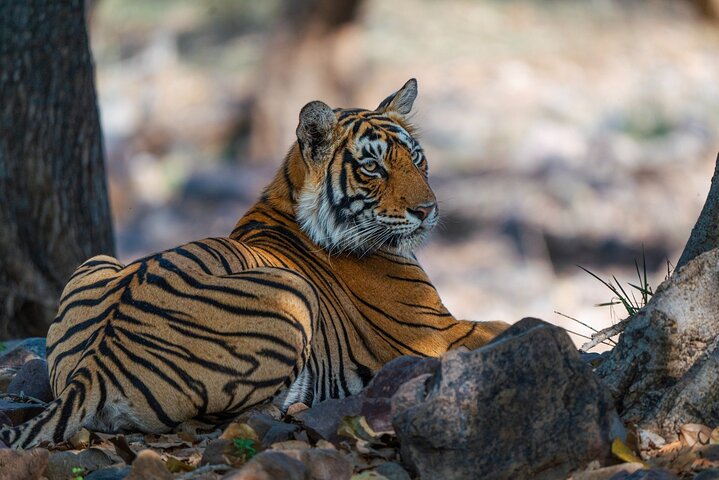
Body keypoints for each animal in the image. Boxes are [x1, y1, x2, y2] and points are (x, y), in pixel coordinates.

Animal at [0, 79, 507, 449]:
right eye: (372, 168)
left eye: (416, 159)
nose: (428, 210)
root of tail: (95, 367)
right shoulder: (437, 331)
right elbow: (511, 324)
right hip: (294, 295)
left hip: (96, 261)